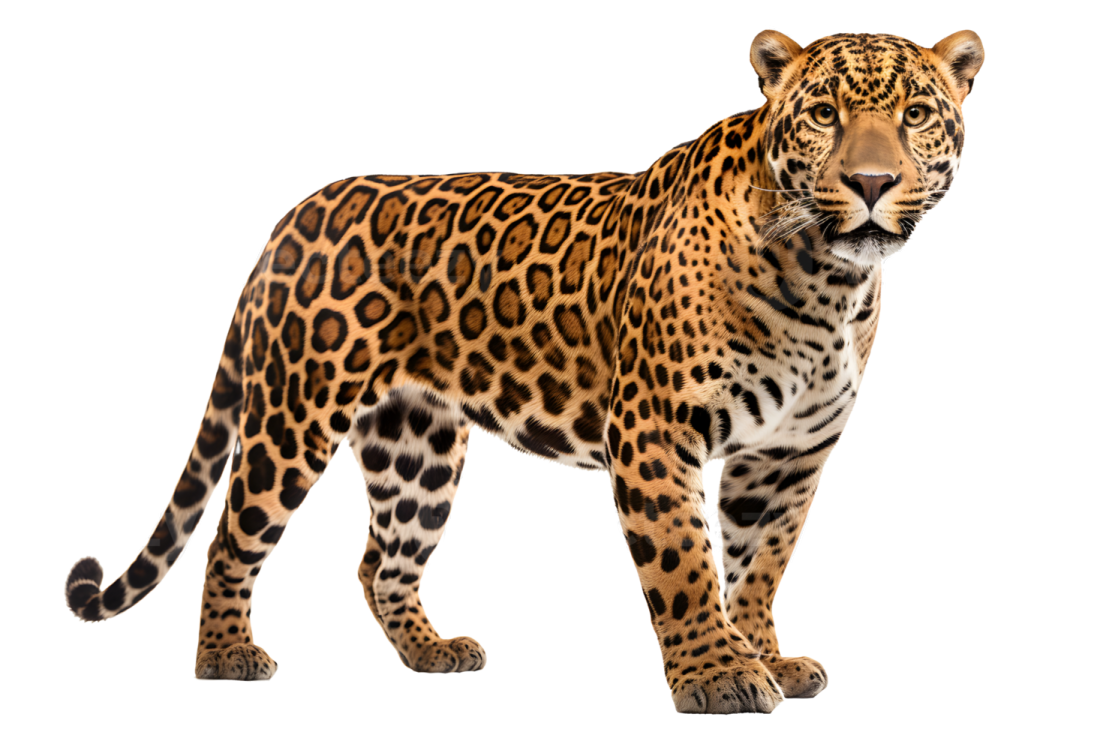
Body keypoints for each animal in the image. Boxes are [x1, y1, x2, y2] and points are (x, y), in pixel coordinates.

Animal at [62, 28, 985, 714]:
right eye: (823, 114)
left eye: (914, 115)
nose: (871, 182)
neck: (824, 278)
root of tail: (298, 209)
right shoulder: (654, 429)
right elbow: (685, 562)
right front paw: (718, 675)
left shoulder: (787, 454)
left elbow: (759, 565)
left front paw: (764, 654)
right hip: (296, 407)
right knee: (231, 534)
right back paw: (227, 655)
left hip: (415, 443)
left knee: (379, 559)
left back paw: (432, 651)